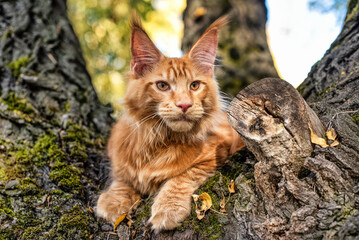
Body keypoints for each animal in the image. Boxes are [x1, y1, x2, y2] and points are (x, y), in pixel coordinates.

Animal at [96, 13, 245, 231]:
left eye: (194, 85)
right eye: (162, 86)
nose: (184, 105)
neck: (157, 141)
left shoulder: (217, 151)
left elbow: (183, 176)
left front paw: (168, 208)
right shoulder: (120, 156)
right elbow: (123, 179)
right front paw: (113, 201)